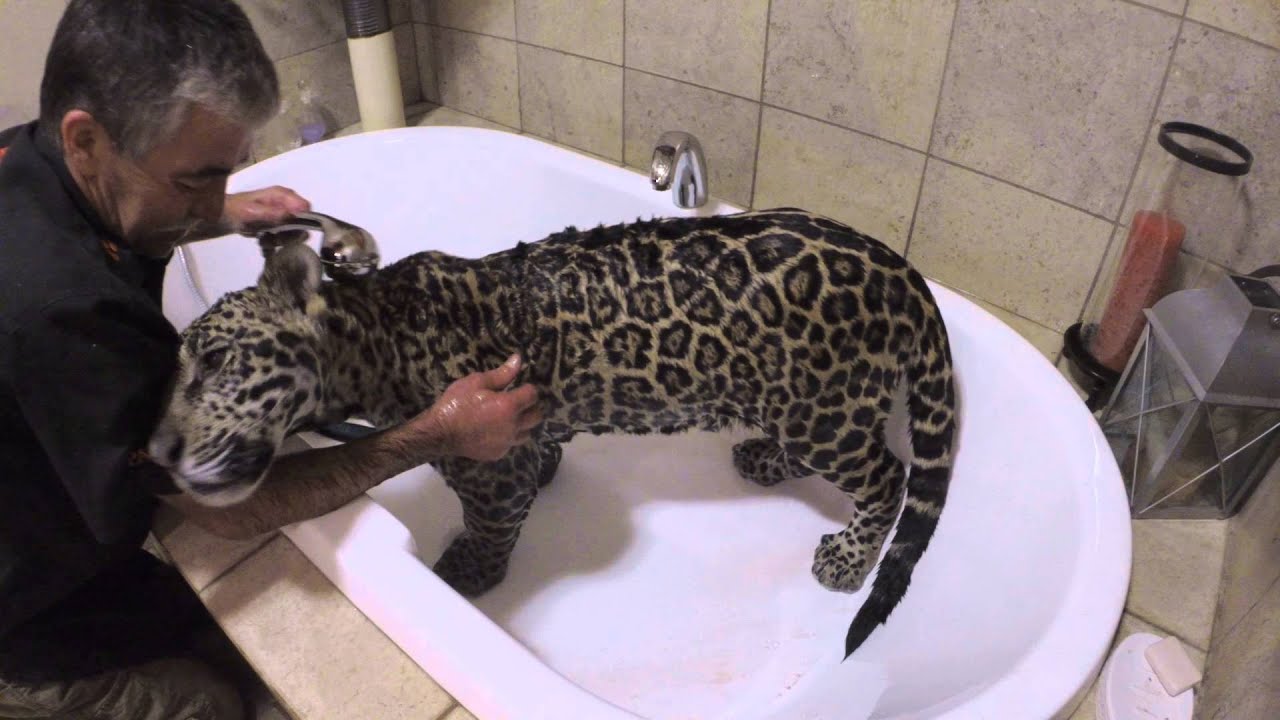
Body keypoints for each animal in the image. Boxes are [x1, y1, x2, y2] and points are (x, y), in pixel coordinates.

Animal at [149, 208, 957, 657]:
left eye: (216, 362)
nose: (156, 453)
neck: (373, 336)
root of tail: (904, 270)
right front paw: (547, 472)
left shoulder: (486, 462)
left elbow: (490, 518)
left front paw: (468, 571)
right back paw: (761, 456)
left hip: (824, 412)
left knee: (889, 475)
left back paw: (848, 559)